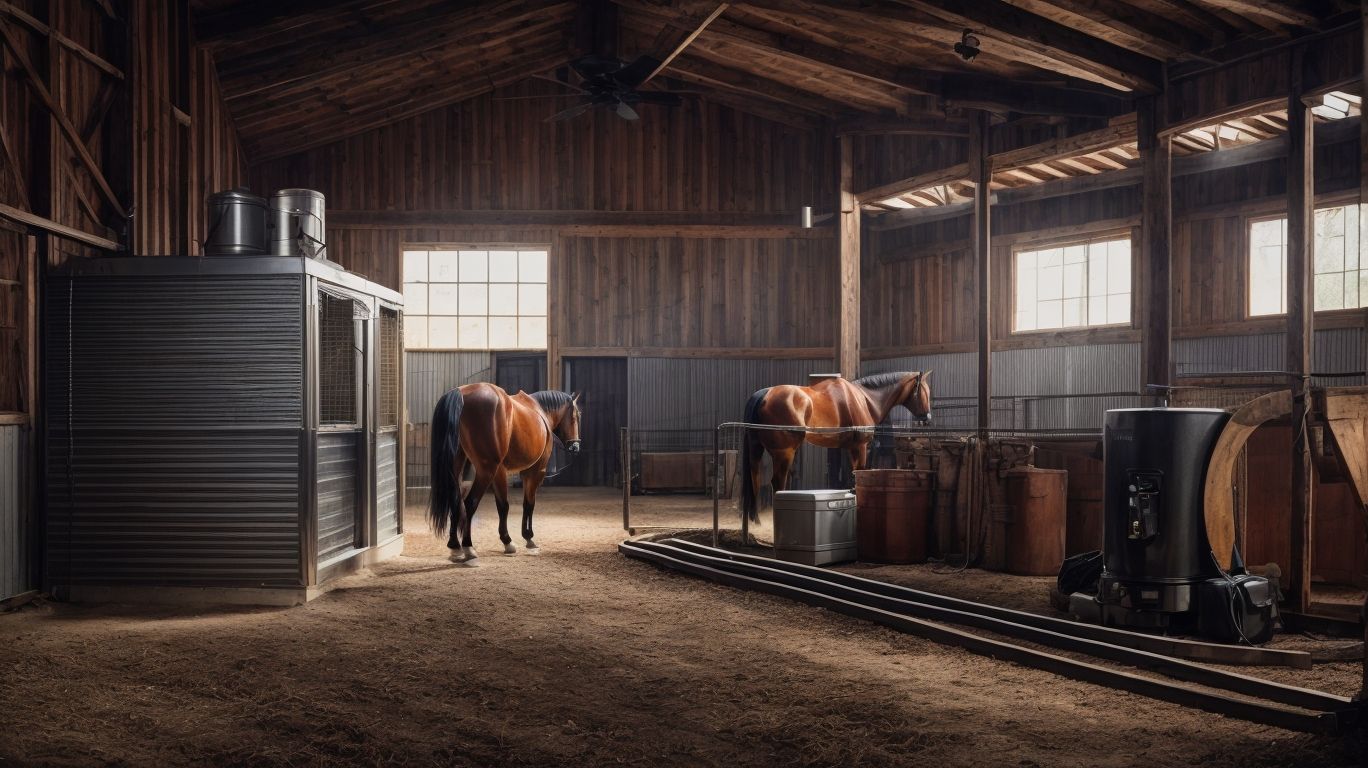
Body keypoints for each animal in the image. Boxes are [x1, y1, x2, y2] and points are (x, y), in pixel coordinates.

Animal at [428, 383, 581, 567]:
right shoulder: (535, 471)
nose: (575, 446)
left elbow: (503, 506)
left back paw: (455, 547)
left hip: (458, 468)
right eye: (576, 416)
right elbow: (528, 504)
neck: (540, 411)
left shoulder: (502, 473)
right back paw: (469, 549)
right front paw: (528, 539)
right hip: (486, 470)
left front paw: (508, 541)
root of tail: (461, 392)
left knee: (456, 501)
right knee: (470, 503)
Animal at [739, 371, 933, 523]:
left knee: (756, 478)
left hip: (758, 450)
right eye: (923, 391)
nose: (927, 418)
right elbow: (859, 472)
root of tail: (765, 394)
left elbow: (853, 476)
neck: (864, 398)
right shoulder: (860, 447)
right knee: (777, 482)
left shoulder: (851, 448)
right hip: (785, 453)